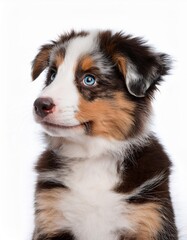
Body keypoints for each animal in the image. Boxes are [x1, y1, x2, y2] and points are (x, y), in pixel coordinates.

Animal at [31, 30, 178, 240]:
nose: (39, 105)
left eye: (89, 79)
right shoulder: (50, 221)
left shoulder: (151, 220)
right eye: (52, 75)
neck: (92, 158)